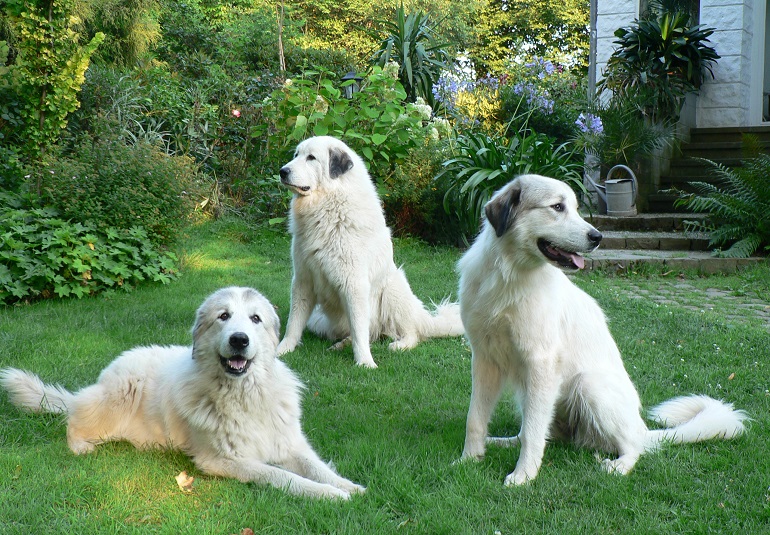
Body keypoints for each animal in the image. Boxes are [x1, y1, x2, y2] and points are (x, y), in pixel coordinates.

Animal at [274, 136, 460, 368]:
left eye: (311, 158)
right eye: (296, 155)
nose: (282, 171)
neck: (328, 206)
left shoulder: (354, 284)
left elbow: (359, 328)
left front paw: (364, 362)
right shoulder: (303, 280)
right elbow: (294, 322)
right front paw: (282, 350)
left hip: (394, 289)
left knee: (410, 332)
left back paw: (399, 345)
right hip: (318, 319)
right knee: (366, 334)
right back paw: (340, 344)